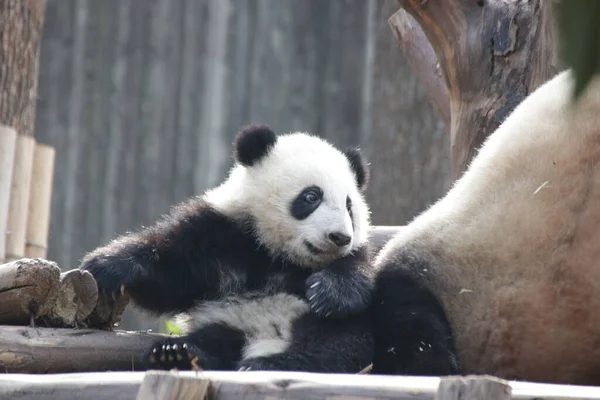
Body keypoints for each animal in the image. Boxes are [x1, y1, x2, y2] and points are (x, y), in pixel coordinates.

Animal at [79, 124, 376, 372]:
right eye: (311, 196)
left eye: (349, 206)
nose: (339, 237)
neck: (275, 254)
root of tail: (266, 339)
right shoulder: (220, 234)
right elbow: (170, 272)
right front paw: (105, 266)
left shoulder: (355, 255)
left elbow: (353, 276)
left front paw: (327, 293)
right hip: (227, 319)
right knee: (215, 340)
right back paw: (175, 353)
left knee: (333, 345)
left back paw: (269, 364)